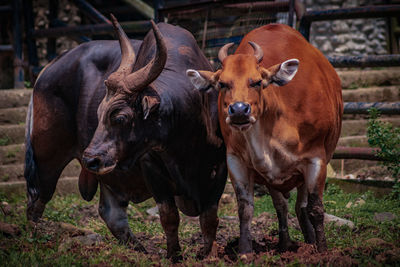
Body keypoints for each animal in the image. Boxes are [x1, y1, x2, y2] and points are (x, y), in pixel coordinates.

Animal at [186, 24, 342, 254]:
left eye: (257, 82)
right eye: (222, 84)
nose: (239, 110)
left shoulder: (316, 159)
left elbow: (315, 208)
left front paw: (322, 250)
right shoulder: (236, 160)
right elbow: (245, 208)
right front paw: (244, 251)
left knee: (302, 206)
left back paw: (311, 241)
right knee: (283, 206)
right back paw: (285, 242)